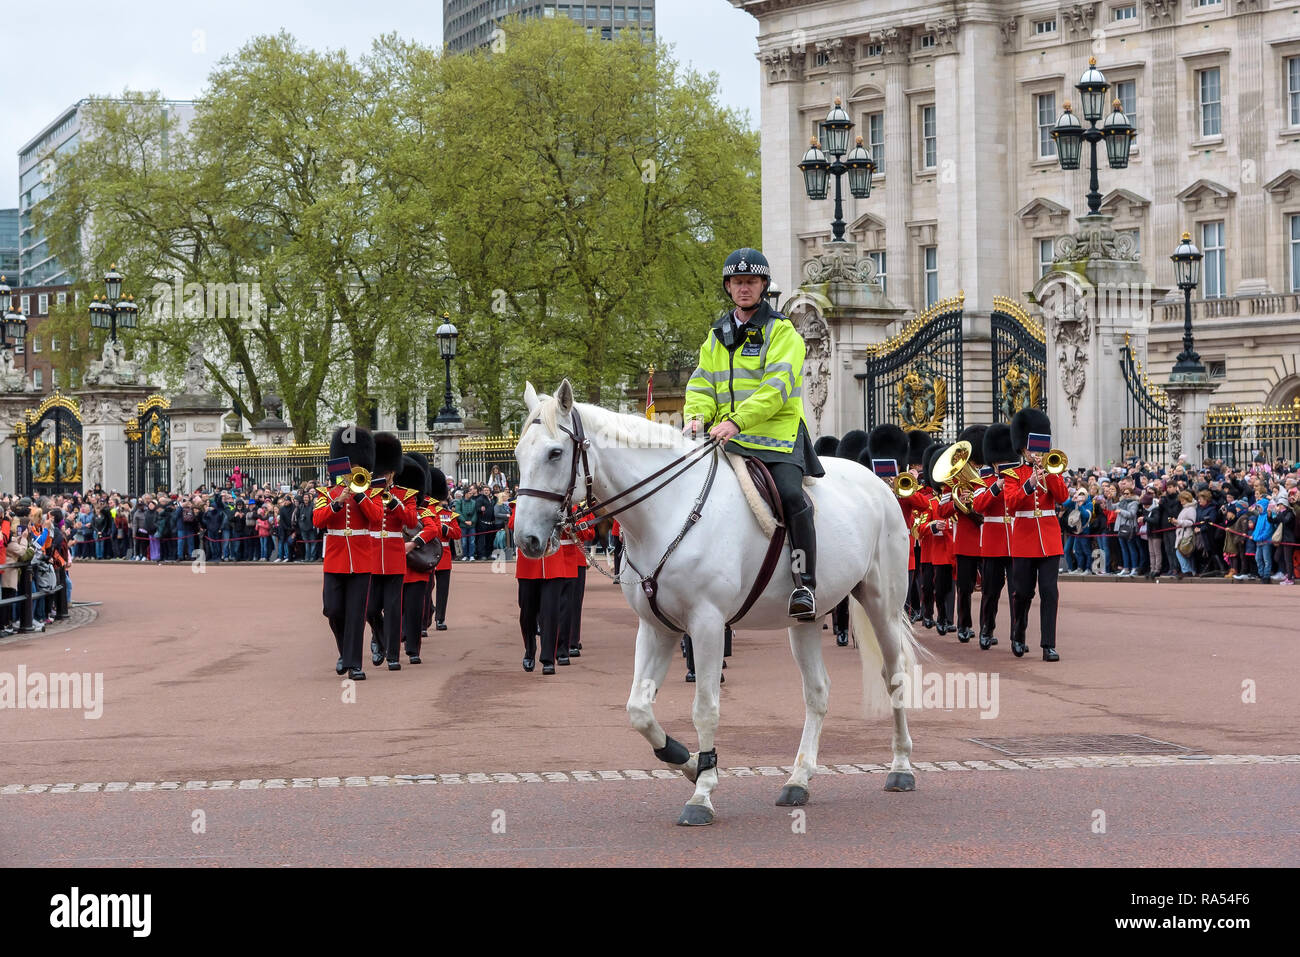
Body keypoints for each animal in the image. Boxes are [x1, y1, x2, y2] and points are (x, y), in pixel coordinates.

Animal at [512, 377, 920, 826]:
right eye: (517, 453)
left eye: (555, 452)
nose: (526, 540)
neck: (668, 508)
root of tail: (878, 483)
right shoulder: (657, 628)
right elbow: (639, 709)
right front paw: (688, 762)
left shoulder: (706, 624)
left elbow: (704, 707)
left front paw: (702, 793)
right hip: (806, 619)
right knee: (817, 691)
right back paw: (798, 780)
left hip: (882, 604)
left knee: (894, 676)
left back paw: (901, 768)